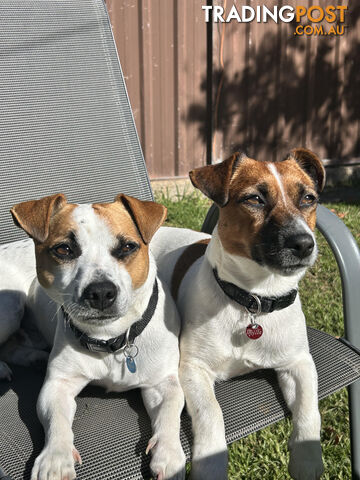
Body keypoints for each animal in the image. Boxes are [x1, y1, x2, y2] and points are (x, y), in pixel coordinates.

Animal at [2, 193, 187, 480]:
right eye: (63, 249)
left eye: (127, 247)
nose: (100, 292)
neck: (110, 339)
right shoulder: (58, 385)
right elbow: (56, 421)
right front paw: (56, 458)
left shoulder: (163, 383)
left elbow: (170, 412)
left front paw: (169, 454)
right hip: (10, 306)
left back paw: (34, 357)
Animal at [152, 149, 326, 480]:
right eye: (254, 199)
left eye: (308, 198)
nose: (303, 243)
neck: (254, 300)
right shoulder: (193, 369)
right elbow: (211, 414)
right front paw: (210, 464)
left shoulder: (299, 363)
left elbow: (309, 410)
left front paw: (308, 459)